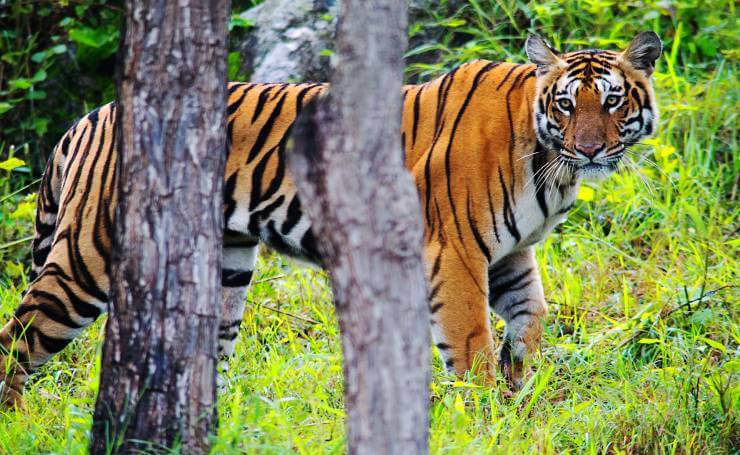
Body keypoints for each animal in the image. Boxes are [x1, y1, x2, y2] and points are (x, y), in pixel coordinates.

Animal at [0, 33, 660, 410]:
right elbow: (468, 342)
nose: (592, 150)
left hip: (225, 268)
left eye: (612, 101)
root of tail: (90, 116)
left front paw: (517, 384)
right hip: (88, 257)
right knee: (19, 337)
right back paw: (19, 419)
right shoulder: (454, 251)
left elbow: (532, 315)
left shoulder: (509, 253)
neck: (550, 164)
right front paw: (486, 413)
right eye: (567, 104)